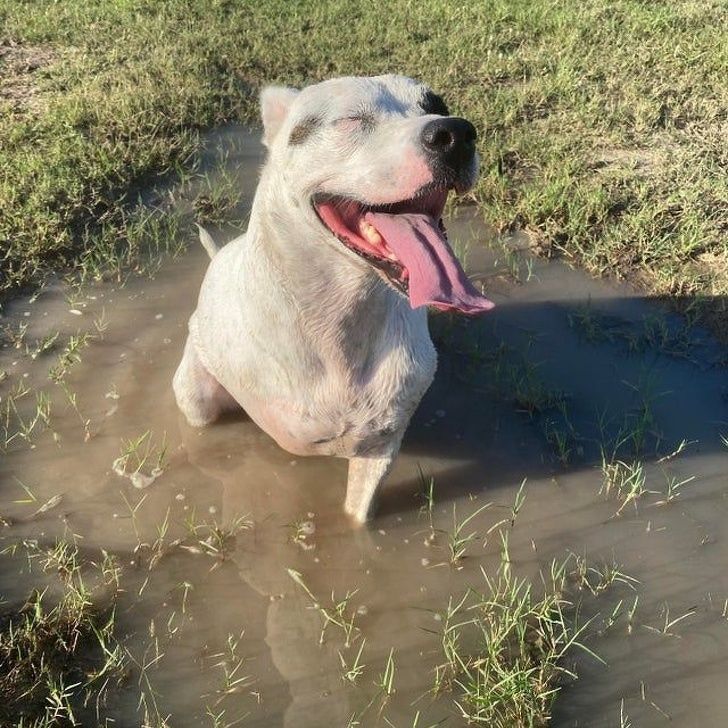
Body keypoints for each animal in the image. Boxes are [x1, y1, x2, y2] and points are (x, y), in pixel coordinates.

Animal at [173, 75, 494, 524]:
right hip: (194, 393)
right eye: (351, 119)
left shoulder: (380, 446)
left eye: (436, 105)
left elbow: (358, 515)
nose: (456, 133)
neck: (340, 319)